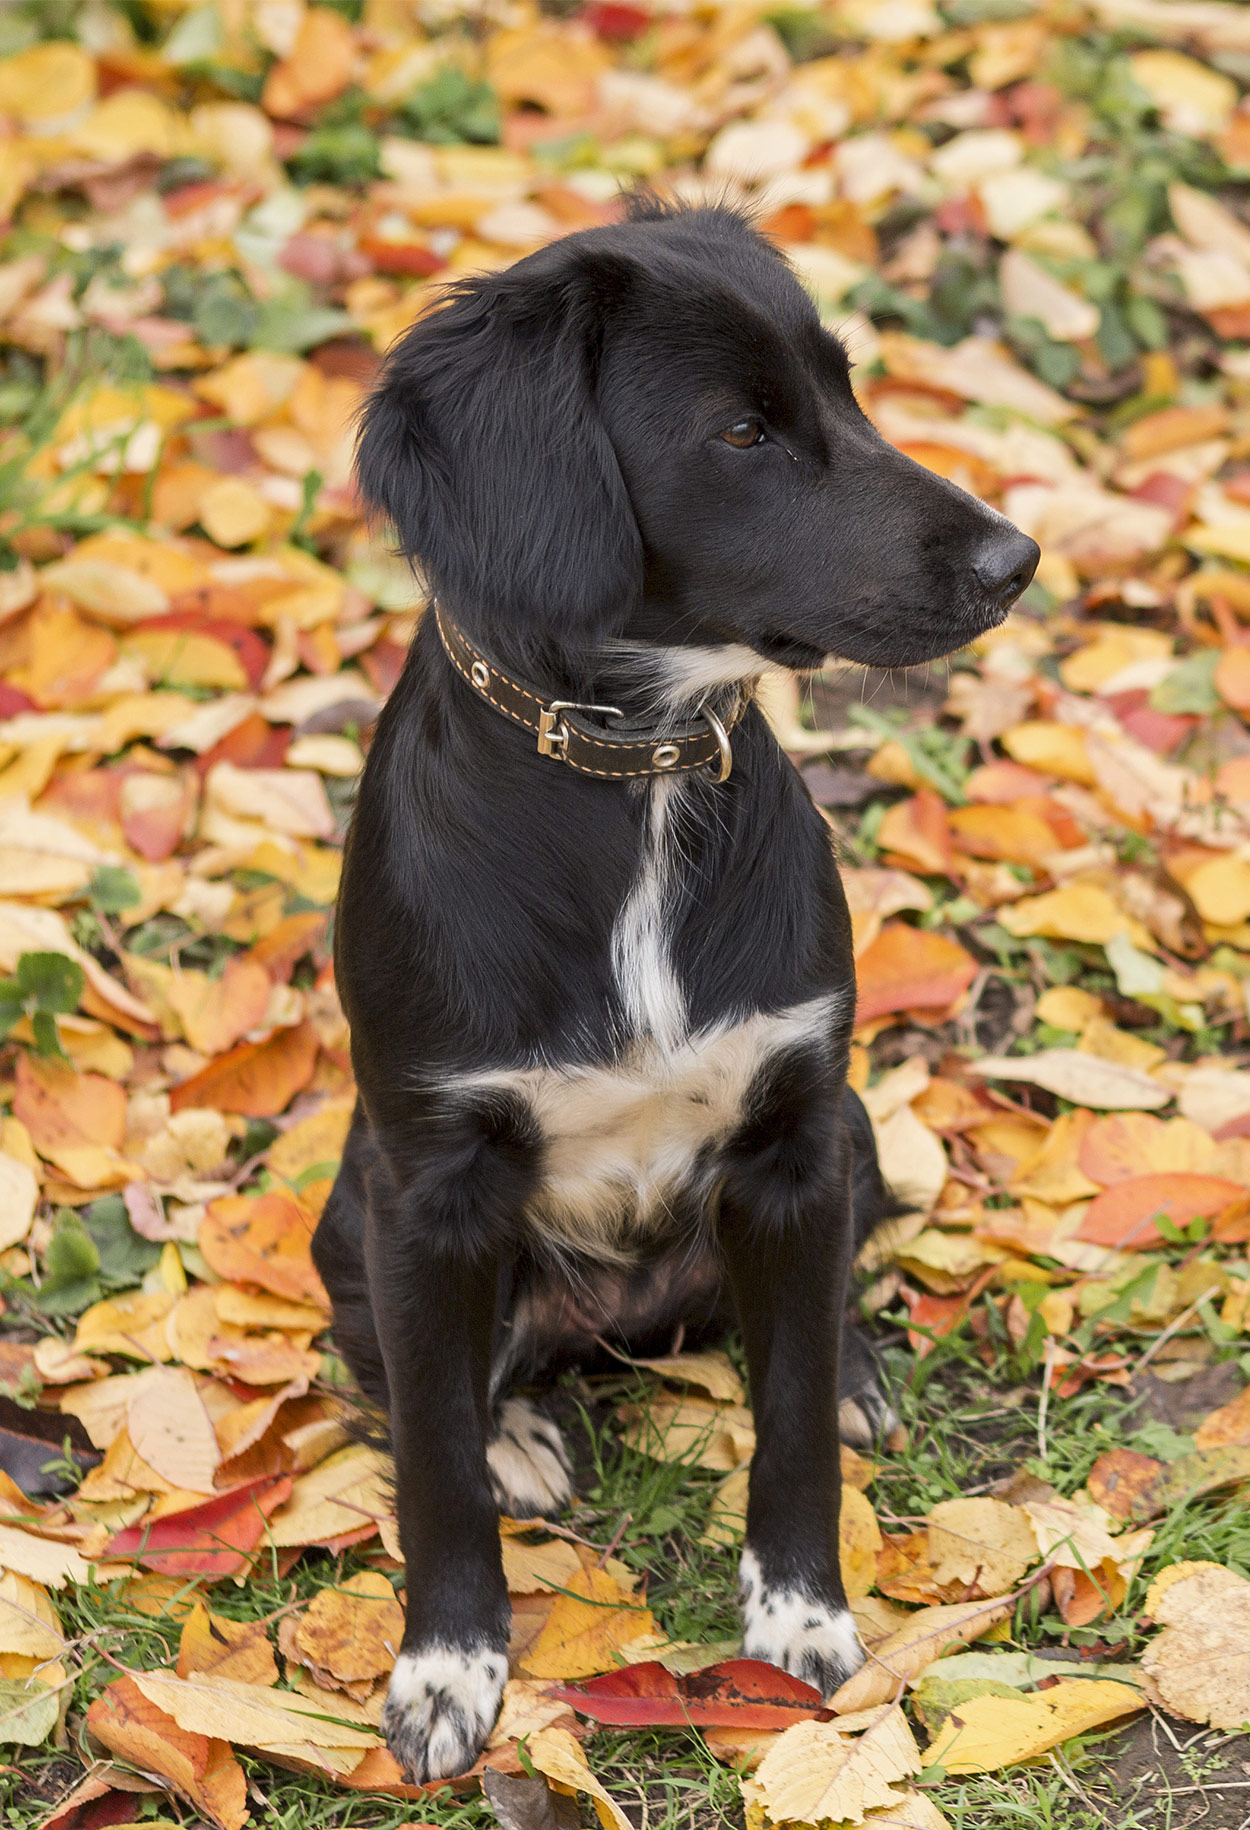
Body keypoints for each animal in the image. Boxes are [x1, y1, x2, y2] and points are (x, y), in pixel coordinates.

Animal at [318, 196, 1039, 1771]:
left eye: (843, 390)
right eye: (740, 433)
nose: (1014, 559)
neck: (630, 770)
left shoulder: (791, 1137)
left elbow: (789, 1419)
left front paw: (801, 1615)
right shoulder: (427, 1183)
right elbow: (428, 1462)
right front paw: (448, 1668)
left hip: (853, 1132)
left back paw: (853, 1365)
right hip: (351, 1221)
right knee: (421, 1377)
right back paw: (513, 1427)